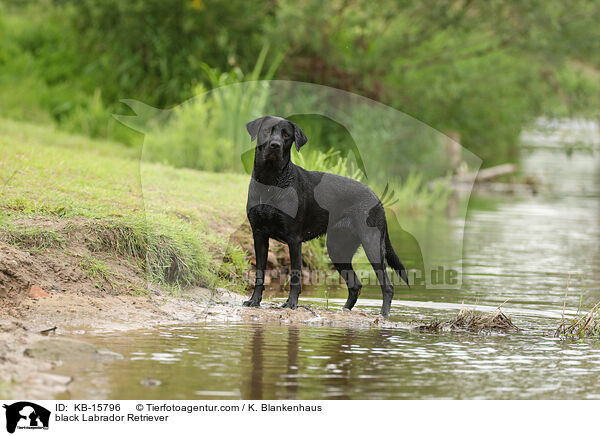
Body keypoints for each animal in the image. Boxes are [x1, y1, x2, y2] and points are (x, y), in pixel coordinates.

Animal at [243, 116, 408, 316]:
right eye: (267, 130)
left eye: (286, 135)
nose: (275, 145)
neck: (270, 182)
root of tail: (377, 198)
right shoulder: (259, 235)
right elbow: (259, 273)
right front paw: (254, 301)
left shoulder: (294, 239)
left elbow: (295, 275)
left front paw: (291, 304)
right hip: (337, 249)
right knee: (355, 285)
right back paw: (344, 311)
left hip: (373, 246)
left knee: (387, 286)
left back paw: (383, 315)